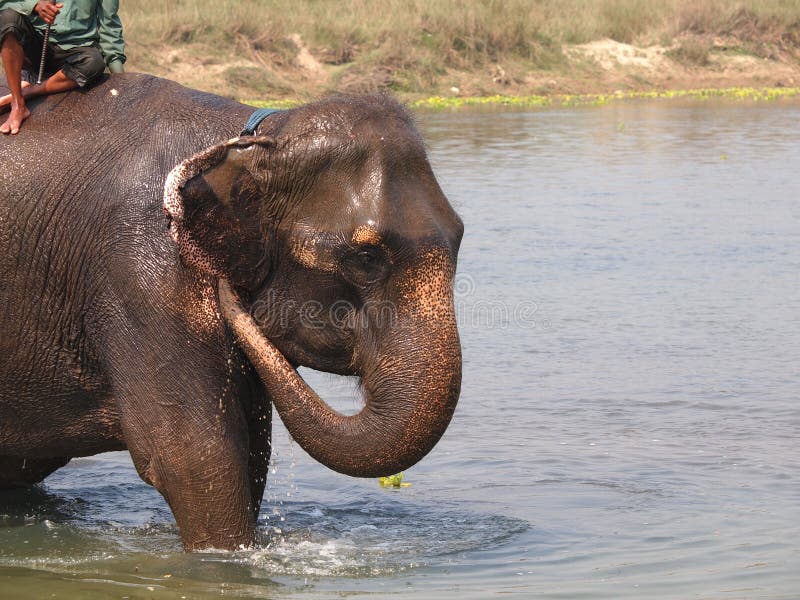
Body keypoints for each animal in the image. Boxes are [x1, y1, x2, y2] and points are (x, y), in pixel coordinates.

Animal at [0, 74, 462, 548]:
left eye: (460, 237)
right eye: (366, 258)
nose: (231, 296)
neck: (255, 139)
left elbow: (252, 454)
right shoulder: (139, 275)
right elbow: (195, 459)